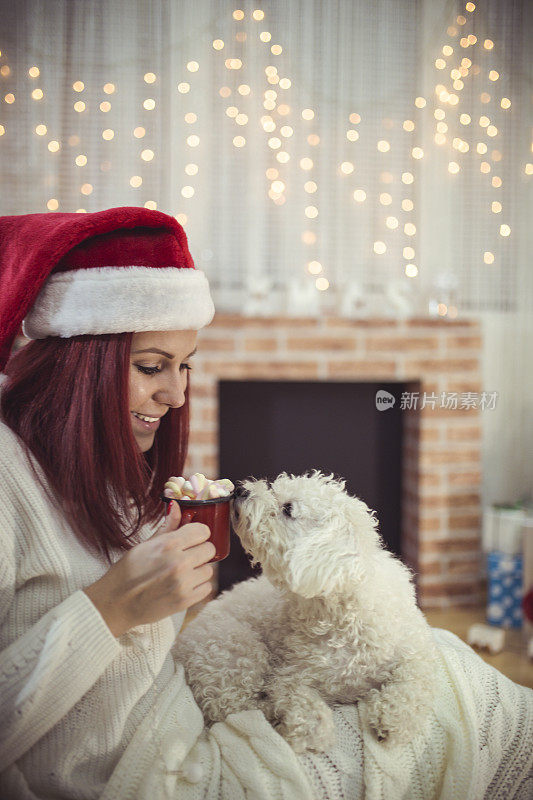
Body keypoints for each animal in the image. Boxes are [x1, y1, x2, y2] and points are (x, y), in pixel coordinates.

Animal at [174, 468, 436, 752]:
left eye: (288, 508)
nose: (241, 490)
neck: (343, 615)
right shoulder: (292, 674)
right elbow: (299, 699)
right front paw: (312, 730)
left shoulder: (417, 653)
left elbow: (414, 682)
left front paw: (392, 719)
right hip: (234, 650)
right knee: (234, 707)